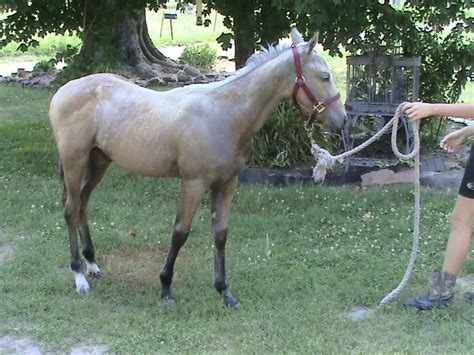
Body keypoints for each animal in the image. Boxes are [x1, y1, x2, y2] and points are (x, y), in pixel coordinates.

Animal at [50, 28, 346, 308]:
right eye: (324, 76)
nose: (342, 120)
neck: (224, 114)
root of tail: (63, 92)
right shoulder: (193, 183)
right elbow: (180, 233)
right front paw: (165, 287)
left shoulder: (227, 184)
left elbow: (221, 234)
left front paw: (224, 291)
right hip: (75, 161)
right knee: (71, 209)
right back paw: (79, 276)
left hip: (99, 160)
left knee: (83, 202)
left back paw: (92, 263)